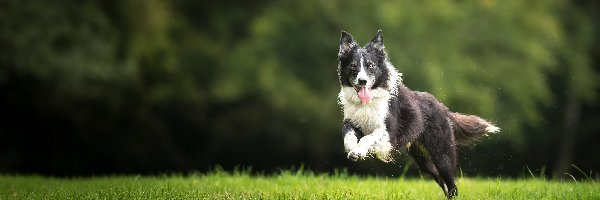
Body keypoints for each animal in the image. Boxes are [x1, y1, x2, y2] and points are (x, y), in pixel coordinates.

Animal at [336, 30, 500, 198]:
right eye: (353, 66)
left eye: (370, 65)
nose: (362, 81)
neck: (368, 101)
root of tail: (443, 108)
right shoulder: (351, 122)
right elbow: (348, 135)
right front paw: (352, 150)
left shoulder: (388, 132)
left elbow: (368, 138)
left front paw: (359, 150)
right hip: (422, 160)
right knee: (440, 179)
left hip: (442, 154)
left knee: (451, 183)